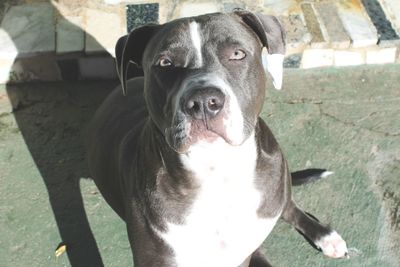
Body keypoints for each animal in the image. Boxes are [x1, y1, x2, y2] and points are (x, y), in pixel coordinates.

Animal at [86, 10, 346, 267]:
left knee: (288, 205)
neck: (217, 168)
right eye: (165, 63)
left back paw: (325, 235)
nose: (203, 102)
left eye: (237, 54)